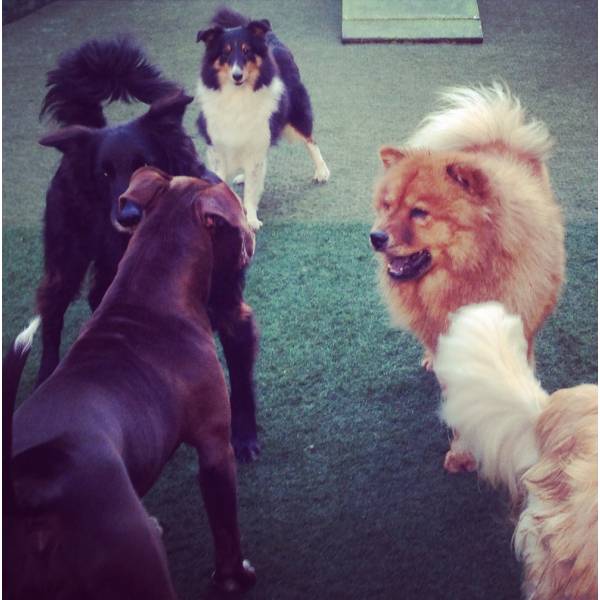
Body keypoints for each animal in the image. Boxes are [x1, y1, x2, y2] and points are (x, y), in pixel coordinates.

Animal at [4, 168, 258, 600]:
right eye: (238, 211)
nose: (252, 240)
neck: (146, 293)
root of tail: (26, 492)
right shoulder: (214, 446)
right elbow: (227, 531)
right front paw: (234, 579)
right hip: (139, 560)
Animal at [32, 37, 258, 460]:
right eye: (105, 173)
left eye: (147, 164)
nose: (127, 213)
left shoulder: (231, 309)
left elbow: (241, 380)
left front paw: (245, 435)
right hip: (66, 258)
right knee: (52, 308)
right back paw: (45, 373)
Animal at [196, 7, 328, 230]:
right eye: (225, 52)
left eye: (247, 50)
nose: (237, 76)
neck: (236, 97)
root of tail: (272, 38)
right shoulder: (217, 146)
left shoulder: (257, 142)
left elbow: (252, 189)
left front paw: (251, 220)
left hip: (294, 118)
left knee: (310, 140)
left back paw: (322, 171)